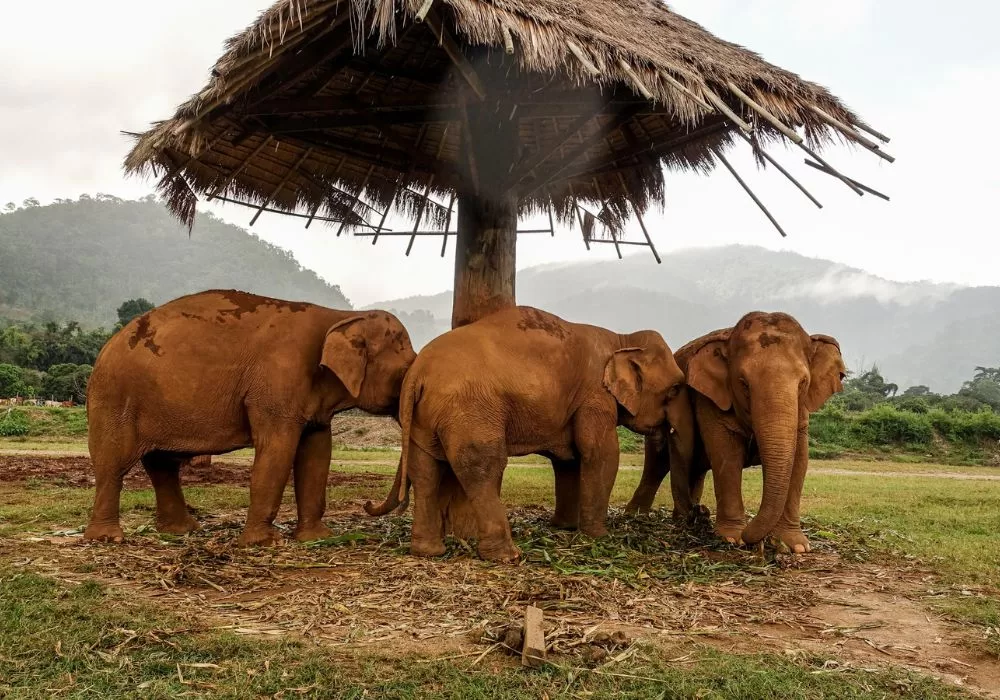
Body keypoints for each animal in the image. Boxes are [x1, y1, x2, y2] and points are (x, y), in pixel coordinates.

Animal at [81, 290, 418, 548]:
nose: (367, 504)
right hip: (113, 397)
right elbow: (277, 451)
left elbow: (317, 454)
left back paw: (182, 531)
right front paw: (263, 543)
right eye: (405, 373)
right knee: (114, 463)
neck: (342, 316)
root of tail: (108, 345)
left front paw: (316, 538)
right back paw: (107, 539)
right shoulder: (276, 384)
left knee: (161, 463)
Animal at [366, 306, 688, 564]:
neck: (621, 339)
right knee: (482, 467)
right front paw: (597, 536)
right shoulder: (595, 397)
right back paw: (506, 556)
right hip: (469, 410)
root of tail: (416, 372)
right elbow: (600, 453)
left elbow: (568, 459)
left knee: (425, 471)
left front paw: (564, 527)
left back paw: (428, 552)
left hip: (424, 418)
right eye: (674, 389)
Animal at [624, 312, 844, 552]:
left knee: (694, 469)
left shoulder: (802, 412)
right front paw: (733, 538)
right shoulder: (709, 397)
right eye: (743, 383)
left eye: (803, 383)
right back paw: (638, 516)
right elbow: (726, 454)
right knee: (657, 464)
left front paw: (795, 546)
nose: (757, 542)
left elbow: (800, 461)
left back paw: (686, 519)